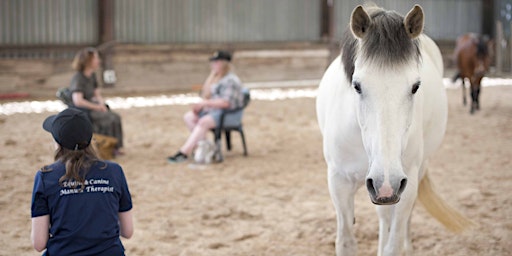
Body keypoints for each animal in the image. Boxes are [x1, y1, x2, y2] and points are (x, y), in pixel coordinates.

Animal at [318, 4, 474, 256]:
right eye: (357, 85)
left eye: (415, 87)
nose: (386, 184)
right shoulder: (339, 182)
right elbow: (346, 242)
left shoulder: (404, 184)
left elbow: (393, 243)